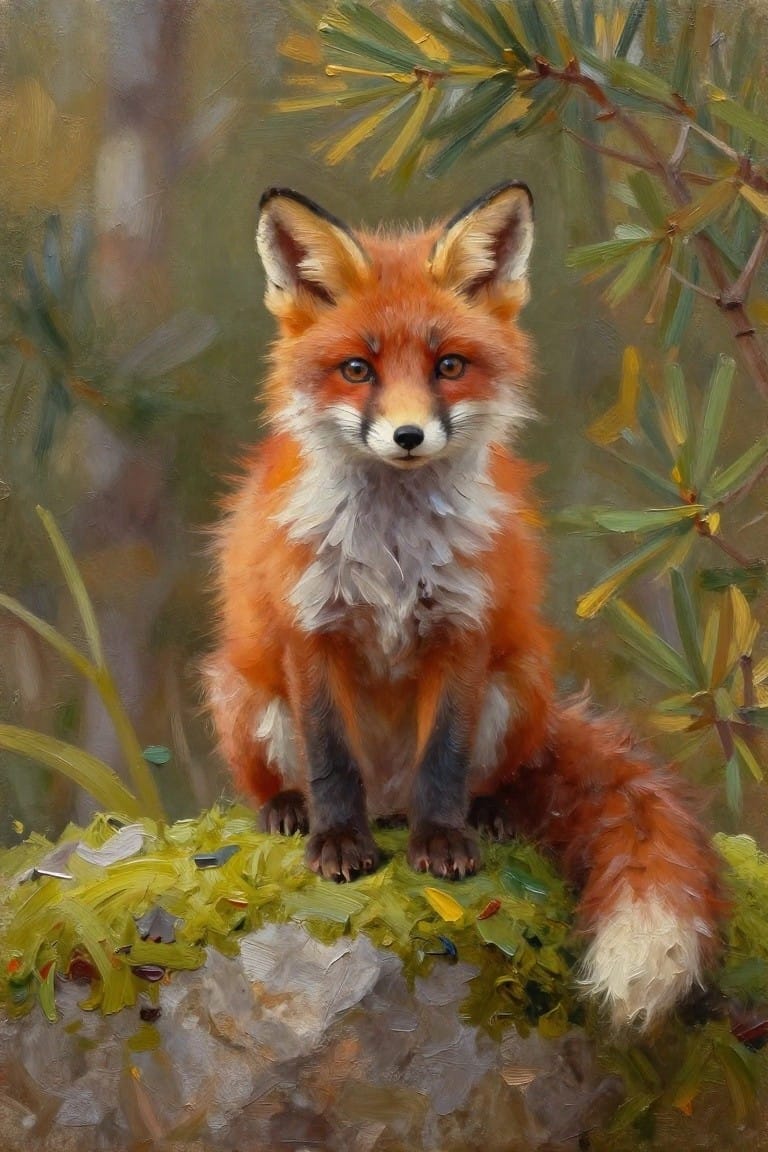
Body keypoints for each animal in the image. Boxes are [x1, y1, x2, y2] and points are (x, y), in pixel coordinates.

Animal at [204, 182, 723, 1029]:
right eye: (357, 369)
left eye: (449, 365)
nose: (409, 435)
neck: (393, 547)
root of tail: (389, 798)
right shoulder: (312, 630)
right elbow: (331, 758)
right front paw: (338, 845)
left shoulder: (463, 629)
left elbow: (443, 759)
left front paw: (443, 842)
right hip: (245, 693)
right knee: (288, 775)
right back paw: (288, 809)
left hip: (520, 684)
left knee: (491, 776)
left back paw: (488, 812)